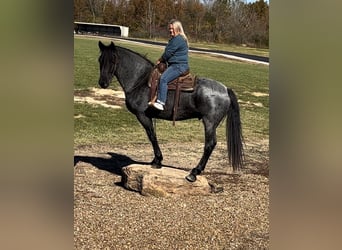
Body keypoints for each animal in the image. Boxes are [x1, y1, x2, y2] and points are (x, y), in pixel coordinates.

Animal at [97, 40, 244, 182]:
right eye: (100, 60)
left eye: (113, 60)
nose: (102, 83)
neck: (140, 80)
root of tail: (225, 89)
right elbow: (153, 135)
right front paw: (156, 160)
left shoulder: (142, 115)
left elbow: (152, 136)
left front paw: (157, 161)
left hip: (209, 123)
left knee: (209, 145)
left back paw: (194, 173)